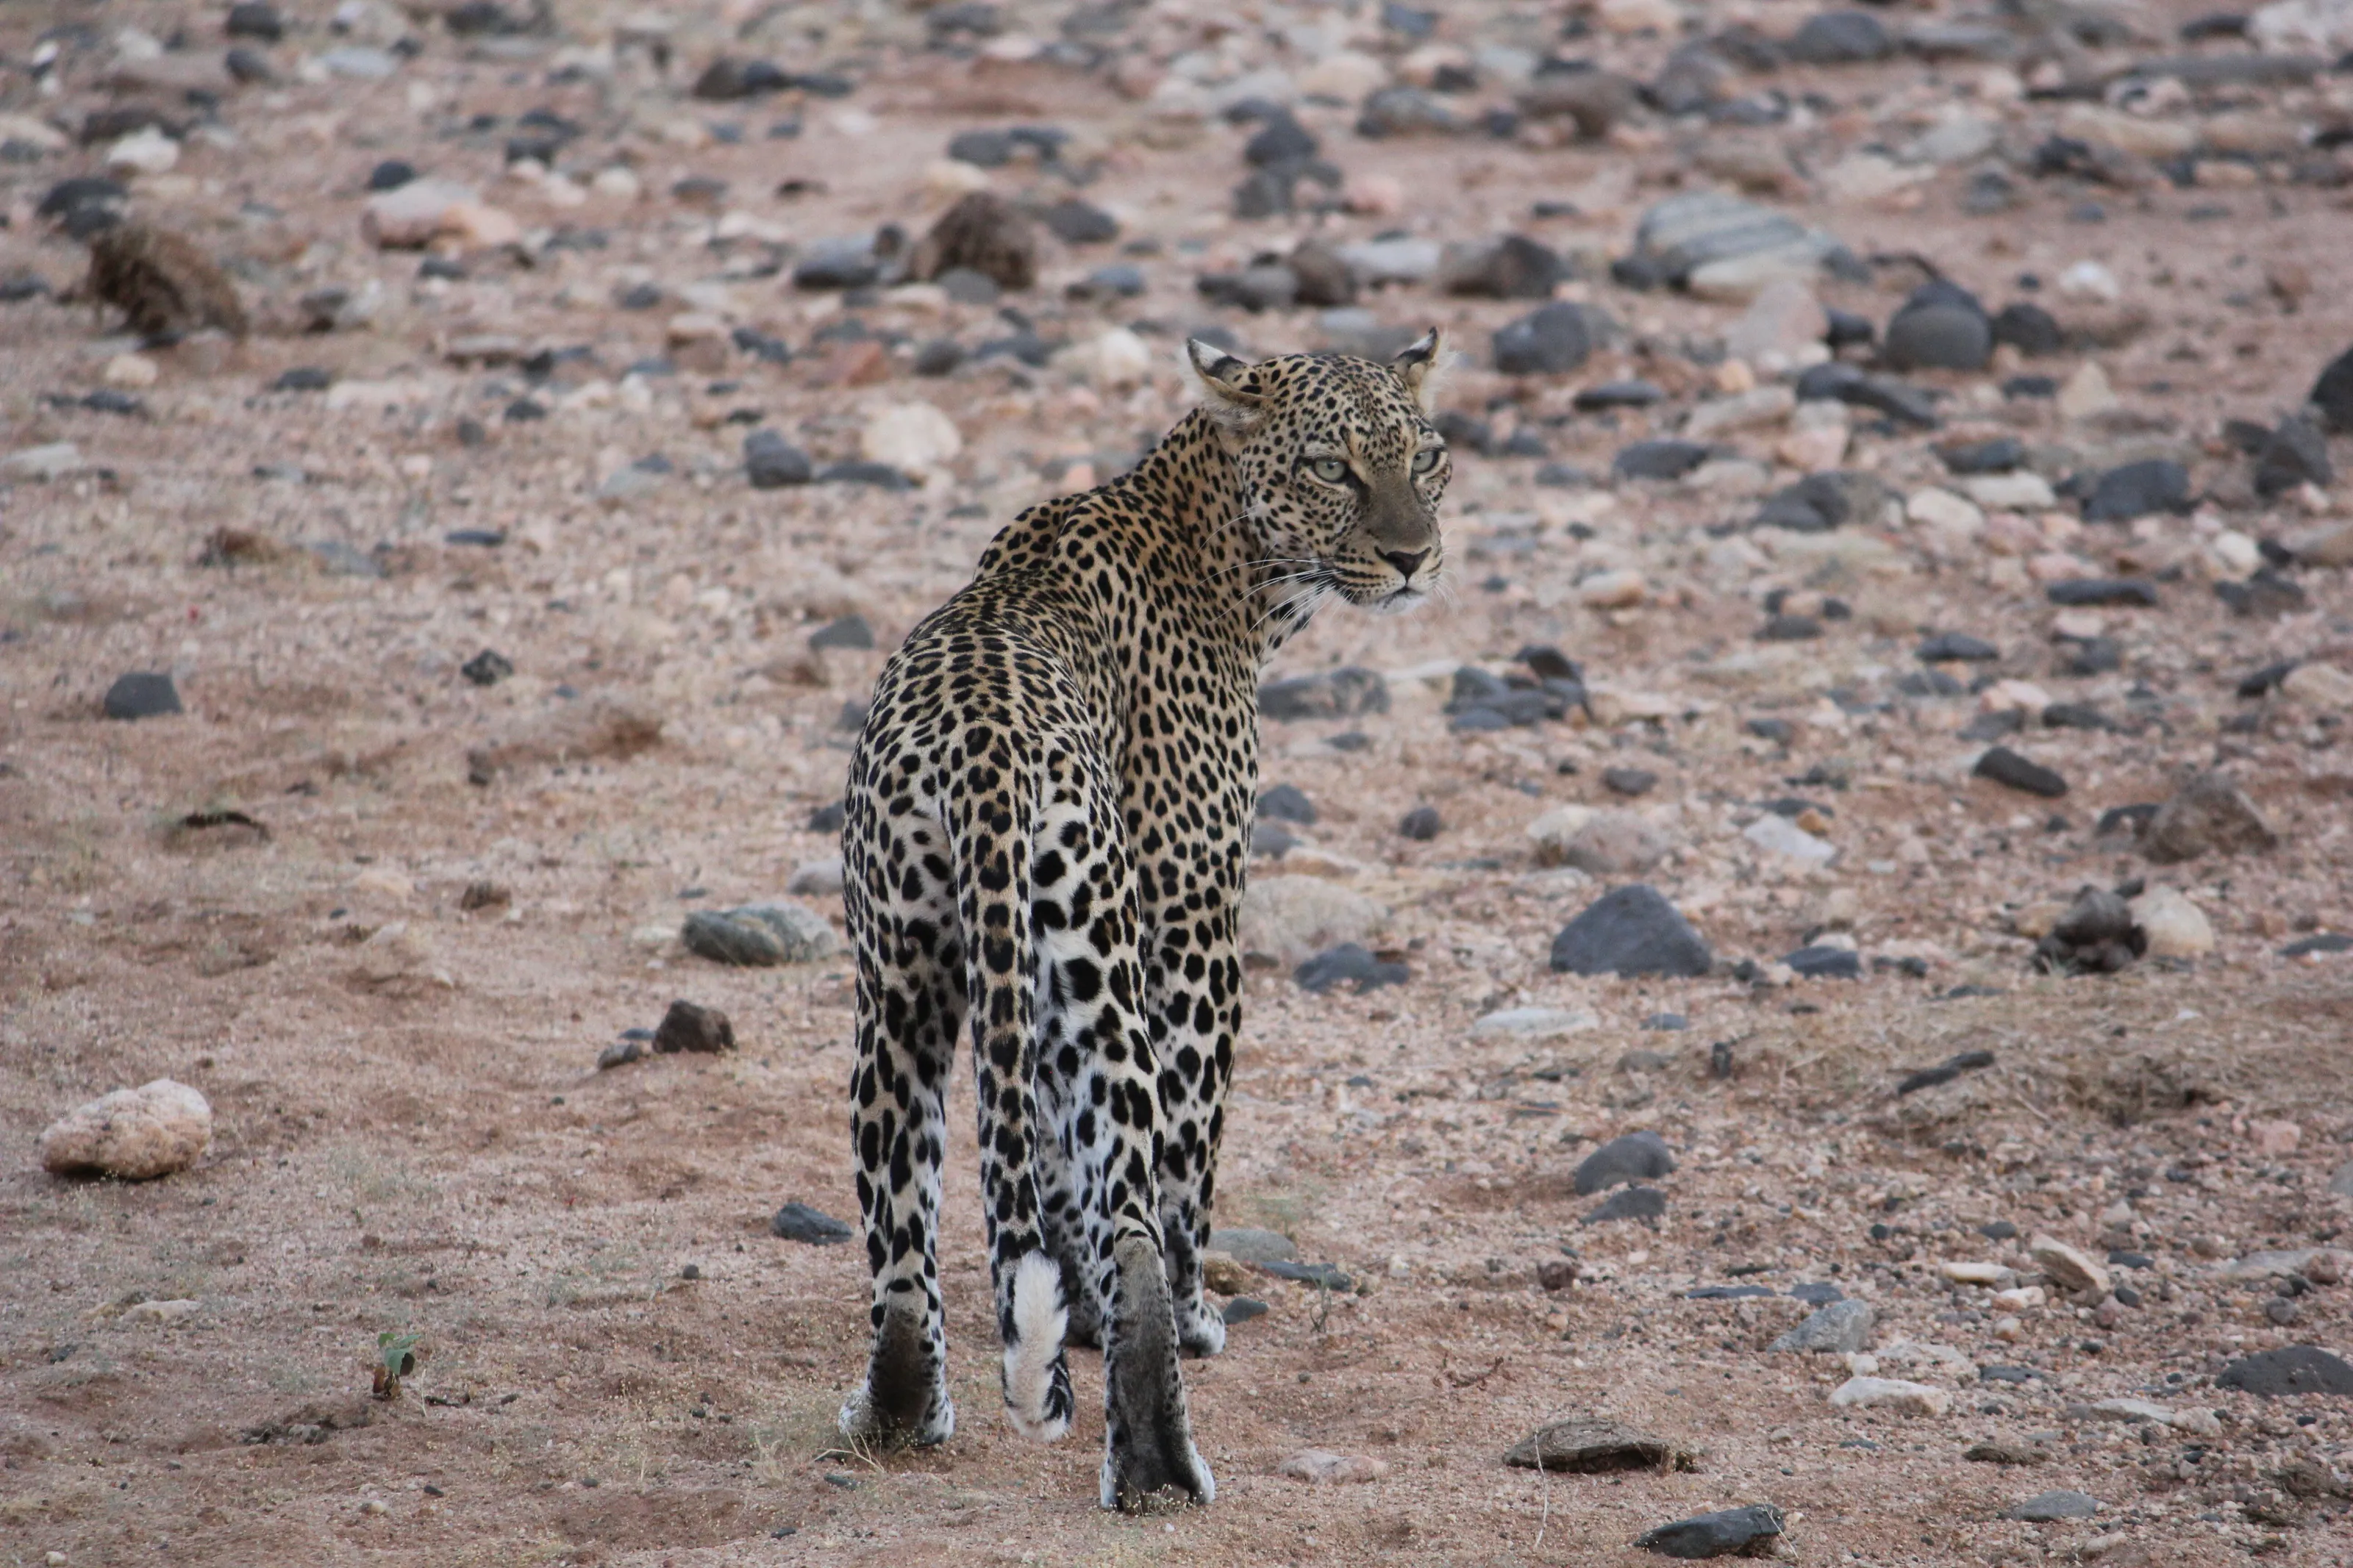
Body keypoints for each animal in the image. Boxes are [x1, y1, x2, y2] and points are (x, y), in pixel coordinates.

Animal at [834, 330, 1451, 1510]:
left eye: (1426, 458)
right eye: (1333, 470)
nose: (1413, 558)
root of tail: (983, 749)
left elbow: (1048, 1169)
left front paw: (1069, 1311)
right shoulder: (1196, 930)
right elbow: (1184, 1166)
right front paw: (1195, 1313)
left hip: (906, 982)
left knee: (900, 1231)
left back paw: (900, 1415)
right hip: (1099, 967)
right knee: (1134, 1200)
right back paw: (1161, 1461)